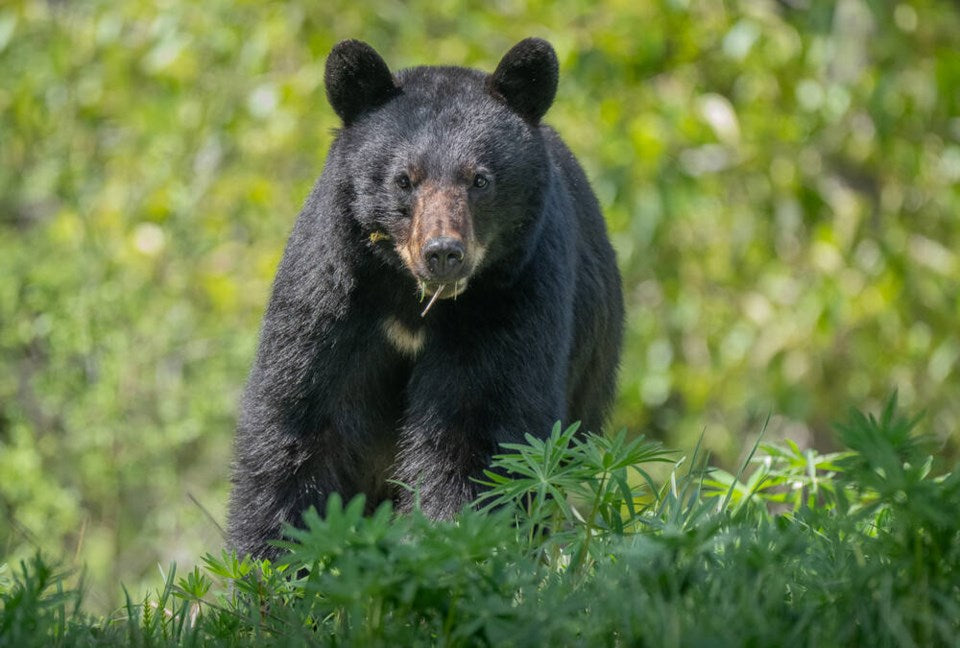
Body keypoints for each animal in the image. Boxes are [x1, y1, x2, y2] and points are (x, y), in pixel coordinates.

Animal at [227, 37, 624, 559]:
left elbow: (477, 429)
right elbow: (299, 422)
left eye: (480, 179)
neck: (410, 301)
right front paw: (269, 562)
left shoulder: (513, 296)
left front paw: (448, 542)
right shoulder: (332, 295)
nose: (443, 253)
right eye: (404, 179)